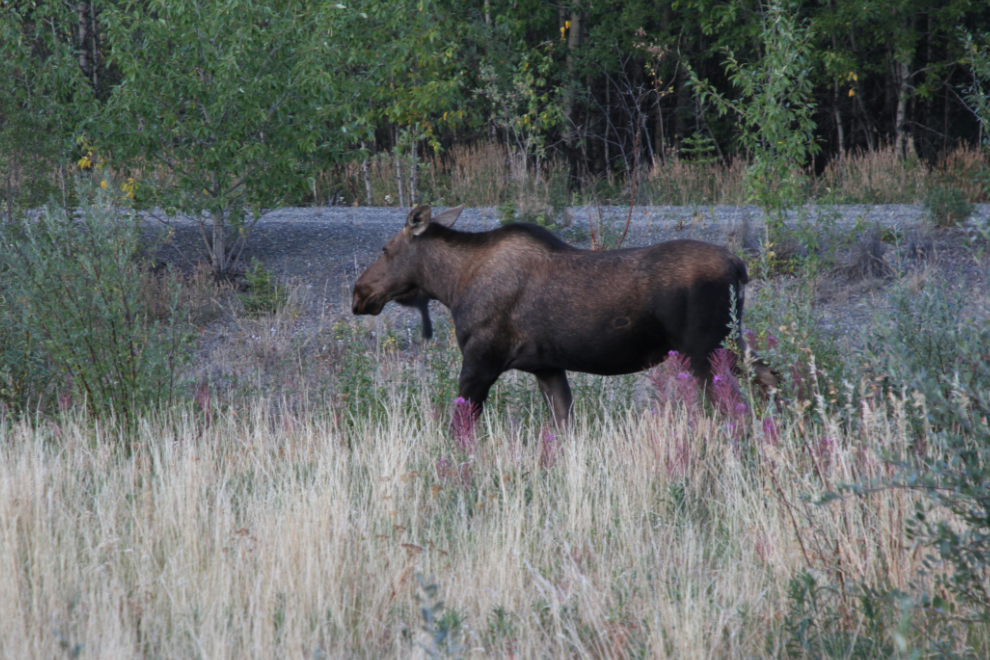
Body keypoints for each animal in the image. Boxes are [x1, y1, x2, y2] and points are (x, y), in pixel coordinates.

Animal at [352, 204, 780, 426]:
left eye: (386, 249)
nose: (359, 293)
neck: (452, 285)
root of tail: (738, 266)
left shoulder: (480, 360)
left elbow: (460, 425)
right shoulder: (546, 367)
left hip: (702, 351)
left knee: (736, 407)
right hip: (731, 342)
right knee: (771, 378)